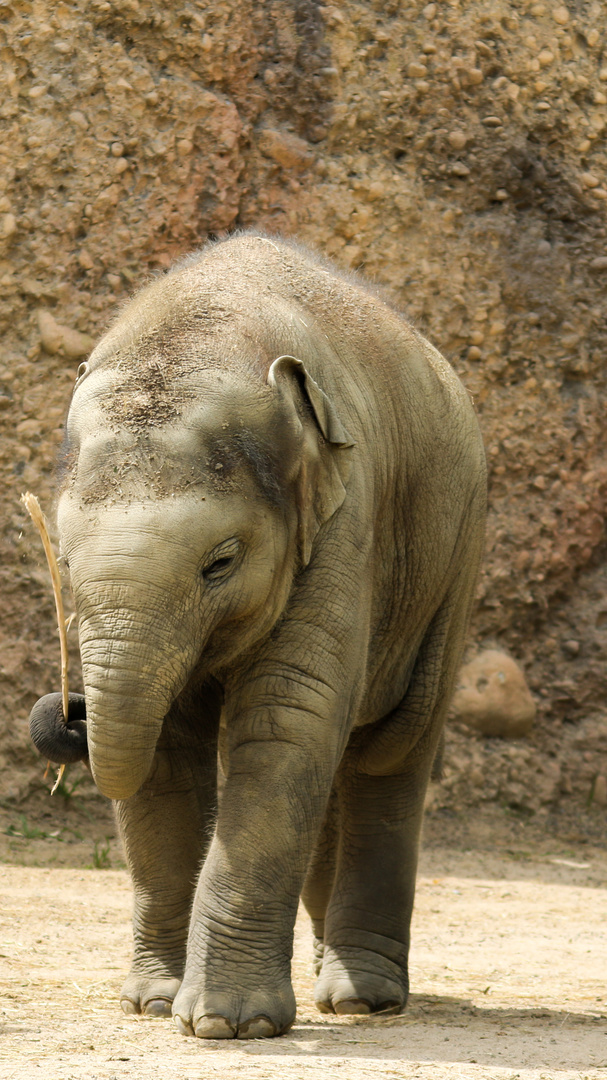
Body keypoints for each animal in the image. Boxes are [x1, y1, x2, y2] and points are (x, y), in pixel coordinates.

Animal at [29, 234, 486, 1036]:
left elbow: (283, 719)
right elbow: (167, 749)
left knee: (392, 747)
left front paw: (227, 1025)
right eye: (66, 558)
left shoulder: (344, 515)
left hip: (455, 550)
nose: (66, 712)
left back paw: (362, 998)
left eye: (221, 562)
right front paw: (153, 1003)